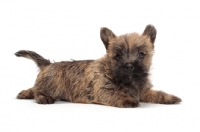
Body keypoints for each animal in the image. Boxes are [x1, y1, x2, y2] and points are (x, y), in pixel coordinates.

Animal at [15, 24, 181, 107]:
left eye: (141, 54)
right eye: (117, 56)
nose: (129, 66)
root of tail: (47, 64)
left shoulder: (143, 91)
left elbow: (156, 93)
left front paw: (169, 97)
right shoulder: (103, 91)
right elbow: (116, 95)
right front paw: (128, 100)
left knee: (33, 88)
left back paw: (24, 93)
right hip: (52, 84)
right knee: (37, 90)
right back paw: (42, 97)